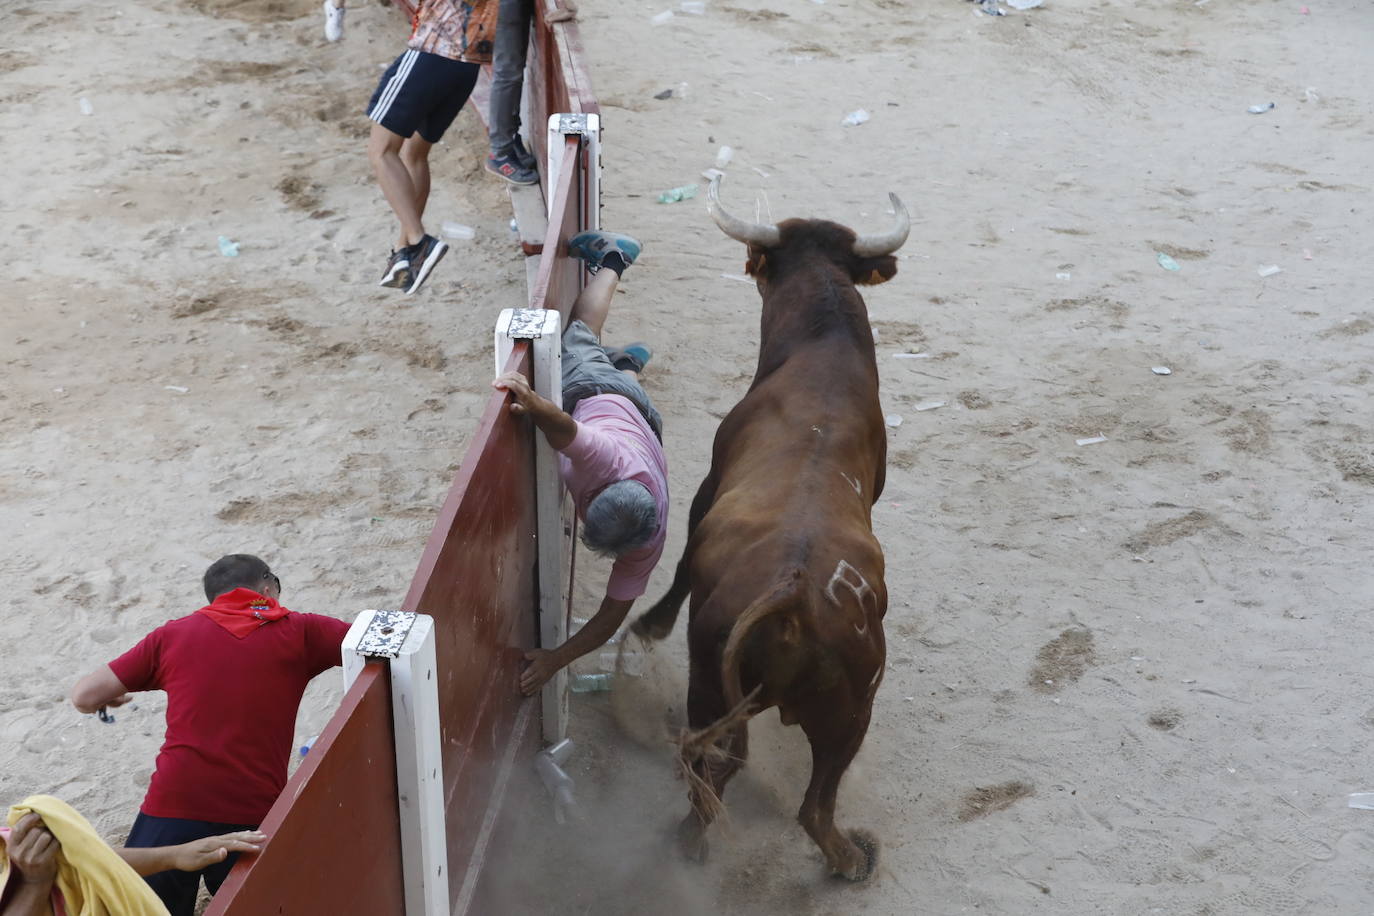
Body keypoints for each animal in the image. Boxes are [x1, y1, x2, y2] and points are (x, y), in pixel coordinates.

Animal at [632, 177, 912, 878]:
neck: (823, 351)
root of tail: (793, 599)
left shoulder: (709, 479)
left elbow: (683, 560)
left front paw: (650, 624)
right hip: (850, 712)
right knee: (801, 798)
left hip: (719, 689)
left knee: (725, 775)